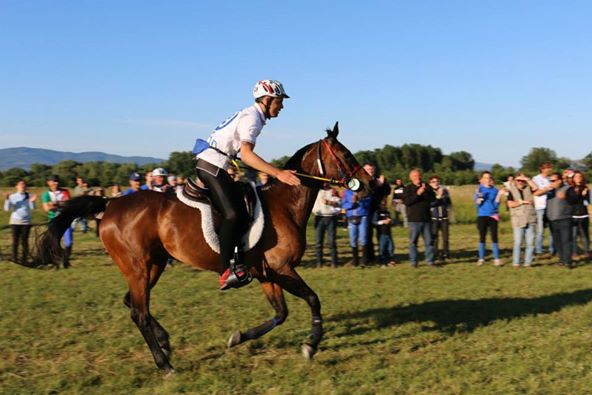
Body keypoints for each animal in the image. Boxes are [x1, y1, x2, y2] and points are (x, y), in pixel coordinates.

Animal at [33, 122, 370, 372]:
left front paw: (238, 337)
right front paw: (311, 345)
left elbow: (280, 314)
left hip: (152, 265)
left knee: (132, 303)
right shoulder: (282, 268)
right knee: (139, 312)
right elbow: (313, 300)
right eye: (345, 154)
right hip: (139, 268)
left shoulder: (268, 274)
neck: (284, 205)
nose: (367, 184)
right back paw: (165, 365)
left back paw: (165, 341)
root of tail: (110, 204)